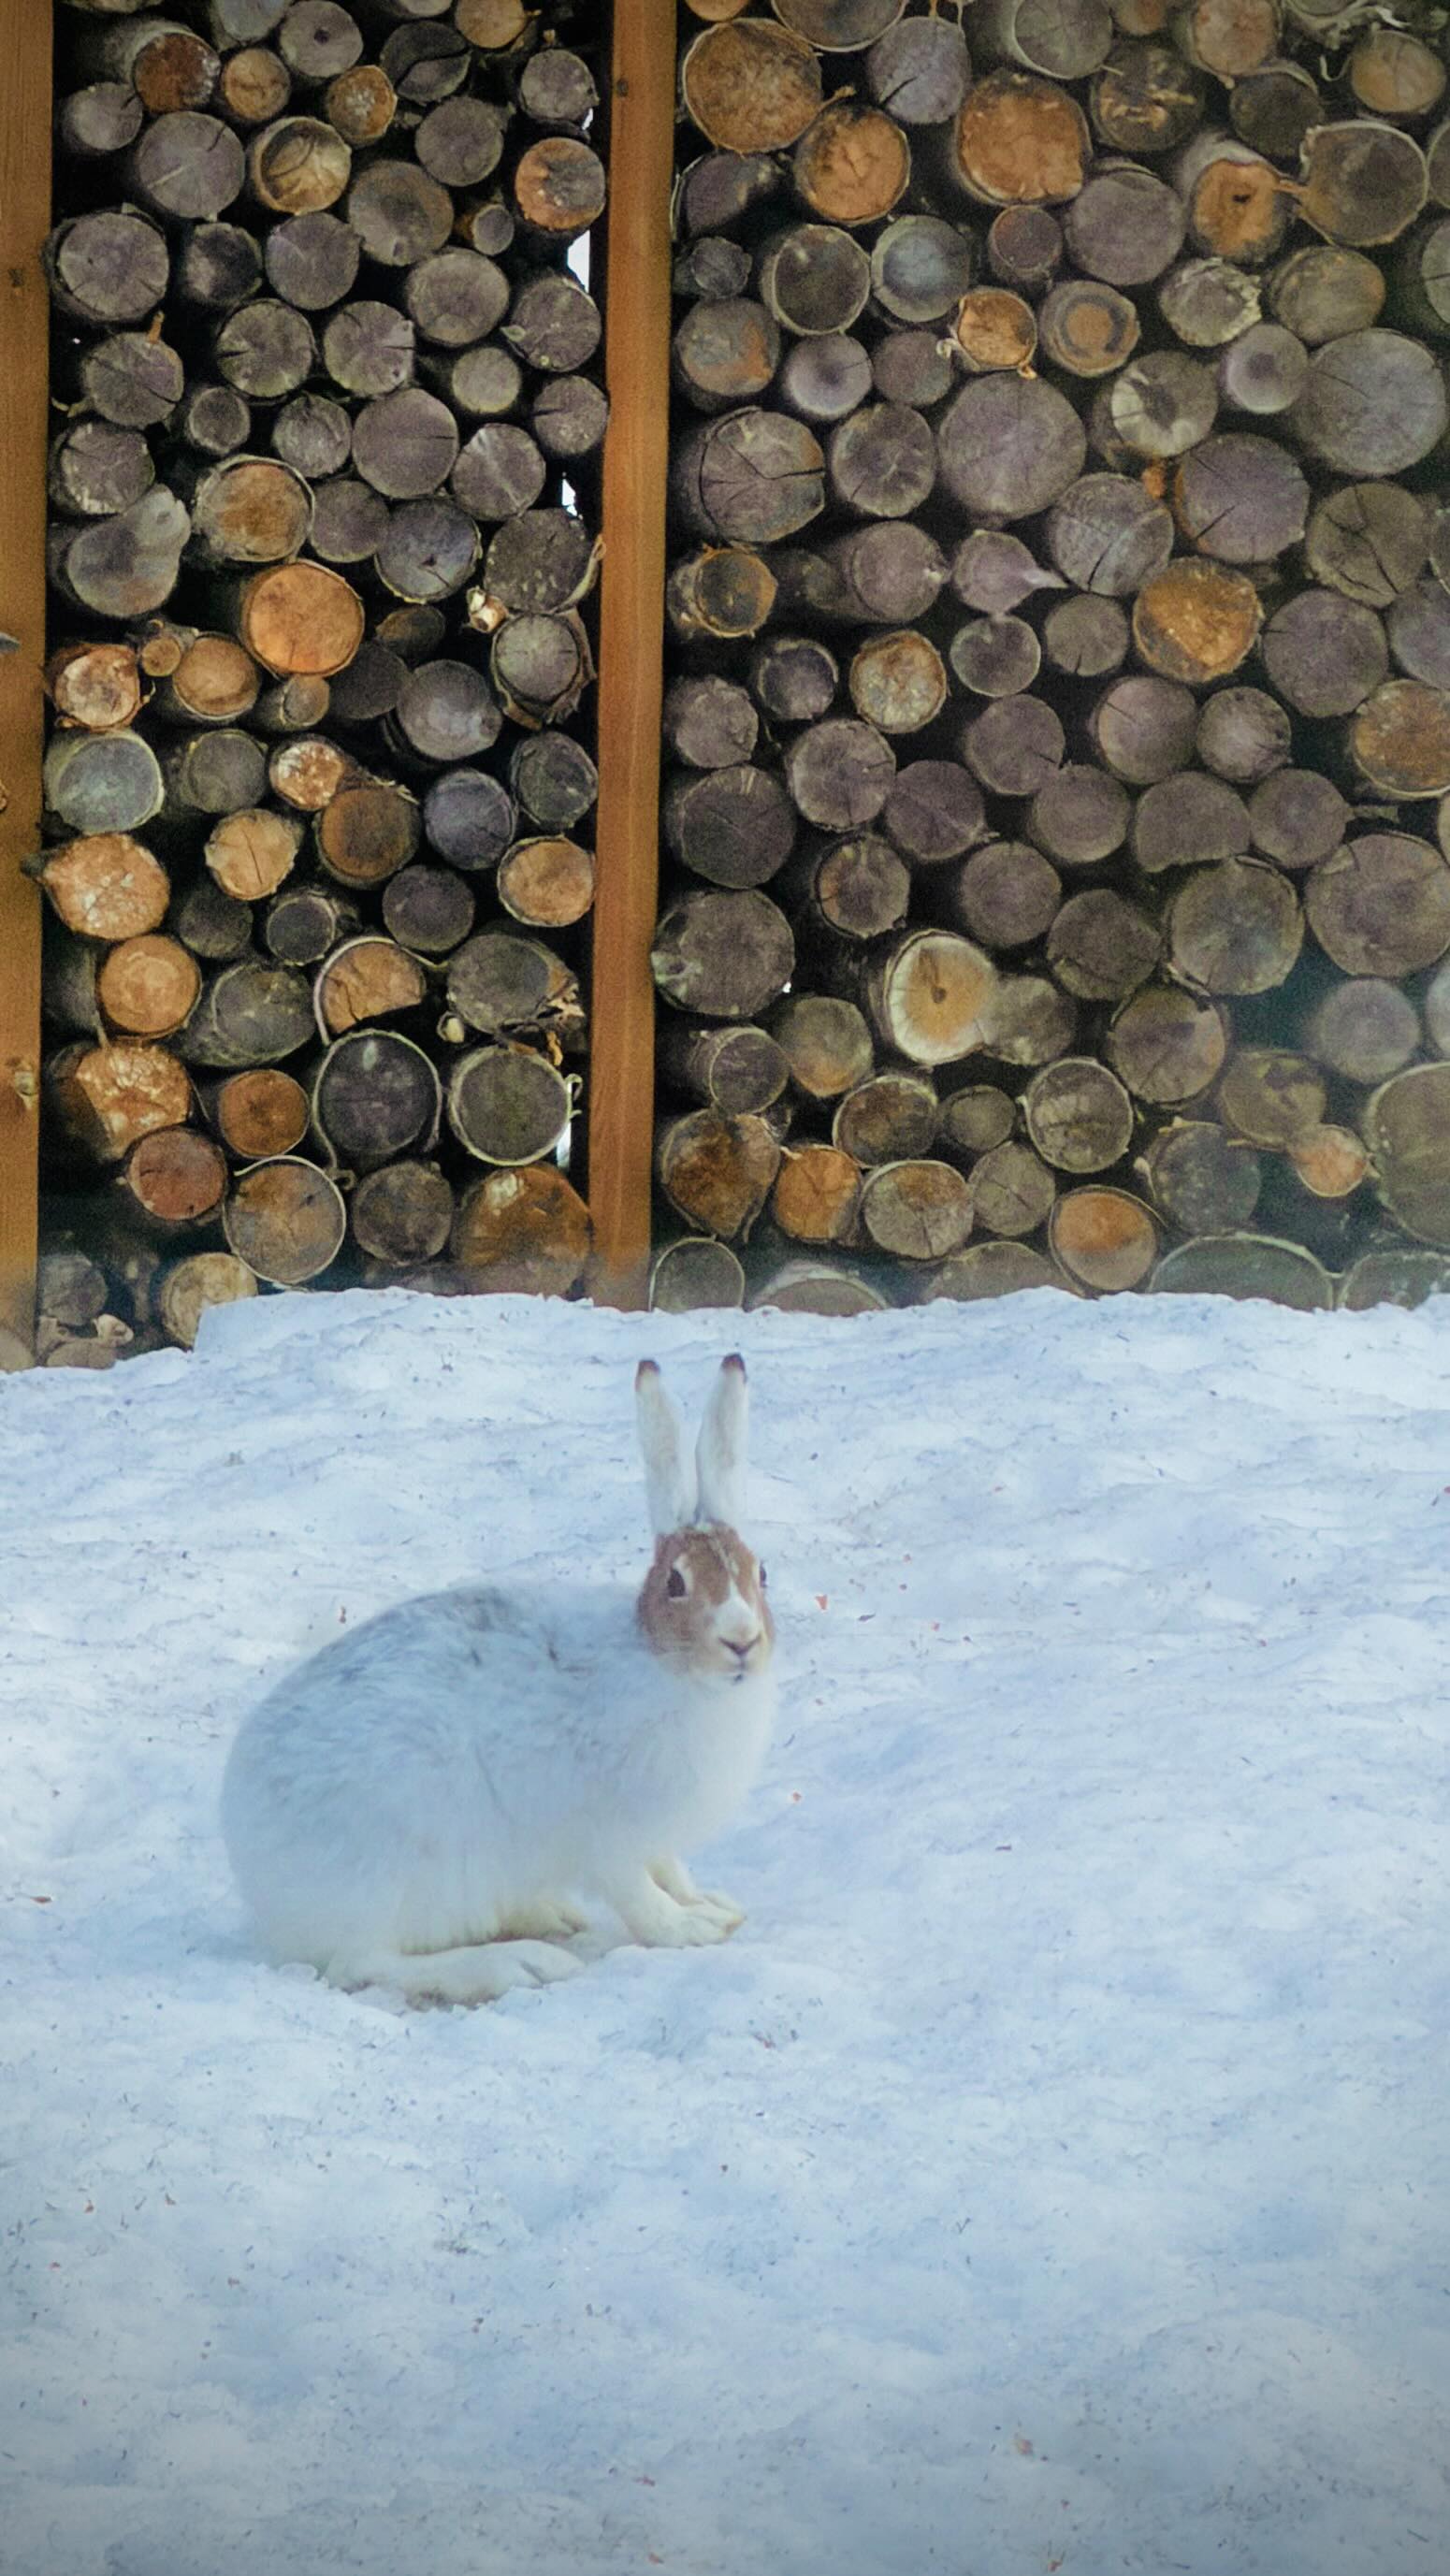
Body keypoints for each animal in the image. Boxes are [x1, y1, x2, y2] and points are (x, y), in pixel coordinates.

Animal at [220, 1353, 776, 2005]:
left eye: (761, 1573)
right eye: (675, 1583)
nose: (741, 1640)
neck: (666, 1667)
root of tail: (249, 1855)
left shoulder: (653, 1838)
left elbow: (671, 1872)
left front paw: (713, 1904)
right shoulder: (607, 1836)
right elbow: (640, 1898)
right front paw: (692, 1930)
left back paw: (552, 1915)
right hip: (401, 1864)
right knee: (365, 1964)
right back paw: (519, 1964)